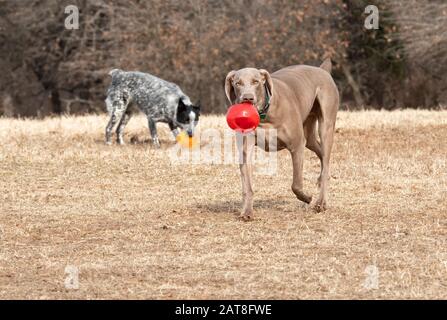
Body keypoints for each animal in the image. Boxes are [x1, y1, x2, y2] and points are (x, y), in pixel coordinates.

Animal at [226, 58, 342, 220]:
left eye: (256, 82)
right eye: (238, 83)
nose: (247, 98)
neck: (264, 116)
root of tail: (322, 70)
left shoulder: (297, 145)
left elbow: (296, 185)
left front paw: (308, 198)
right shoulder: (245, 151)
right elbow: (247, 187)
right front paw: (247, 212)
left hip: (326, 124)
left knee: (325, 154)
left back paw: (320, 203)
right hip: (309, 134)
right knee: (322, 154)